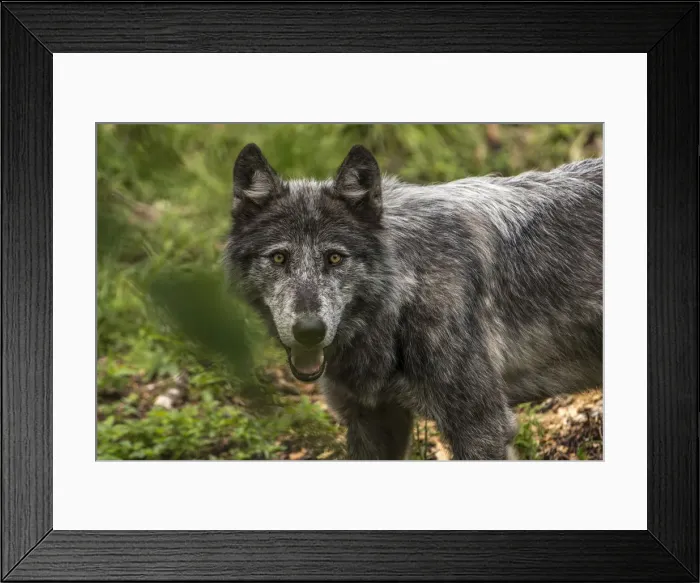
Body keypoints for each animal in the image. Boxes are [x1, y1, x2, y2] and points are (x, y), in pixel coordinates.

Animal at [224, 143, 603, 460]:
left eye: (334, 258)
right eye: (279, 258)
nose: (309, 331)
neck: (402, 296)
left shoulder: (482, 427)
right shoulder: (372, 421)